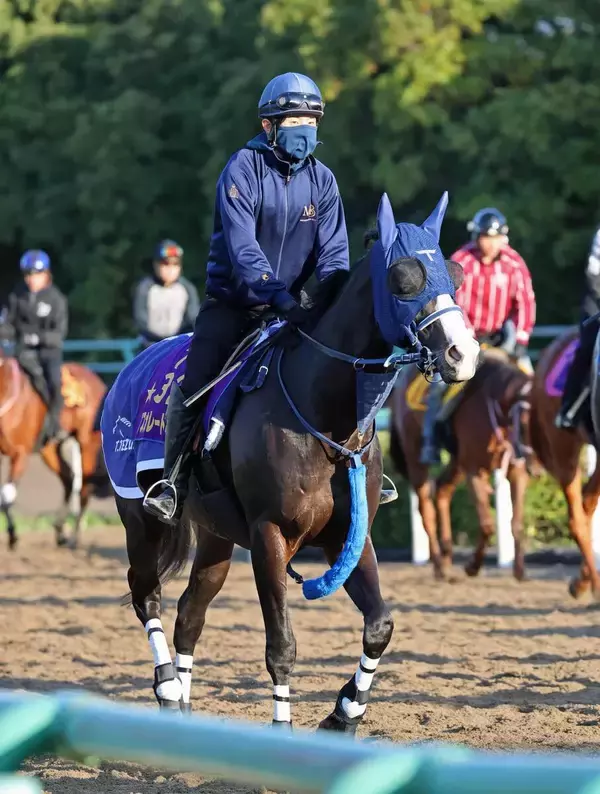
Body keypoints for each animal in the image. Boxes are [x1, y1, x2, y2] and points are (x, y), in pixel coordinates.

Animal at [0, 352, 109, 549]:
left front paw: (13, 536)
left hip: (87, 445)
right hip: (49, 450)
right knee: (69, 480)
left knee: (84, 489)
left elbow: (6, 496)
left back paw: (74, 538)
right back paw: (60, 532)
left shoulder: (20, 454)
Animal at [101, 192, 480, 733]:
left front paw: (344, 715)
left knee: (191, 610)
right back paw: (169, 689)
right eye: (403, 278)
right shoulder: (269, 536)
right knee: (146, 594)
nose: (462, 354)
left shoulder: (350, 536)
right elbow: (281, 645)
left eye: (455, 274)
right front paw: (285, 725)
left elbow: (380, 626)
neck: (325, 420)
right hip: (139, 518)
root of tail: (129, 368)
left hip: (216, 536)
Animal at [389, 349, 533, 581]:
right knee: (425, 508)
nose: (535, 466)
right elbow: (487, 525)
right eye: (527, 422)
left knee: (442, 489)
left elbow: (517, 522)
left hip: (457, 461)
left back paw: (447, 558)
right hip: (415, 455)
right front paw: (472, 566)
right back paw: (439, 565)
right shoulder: (474, 469)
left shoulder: (515, 470)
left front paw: (520, 571)